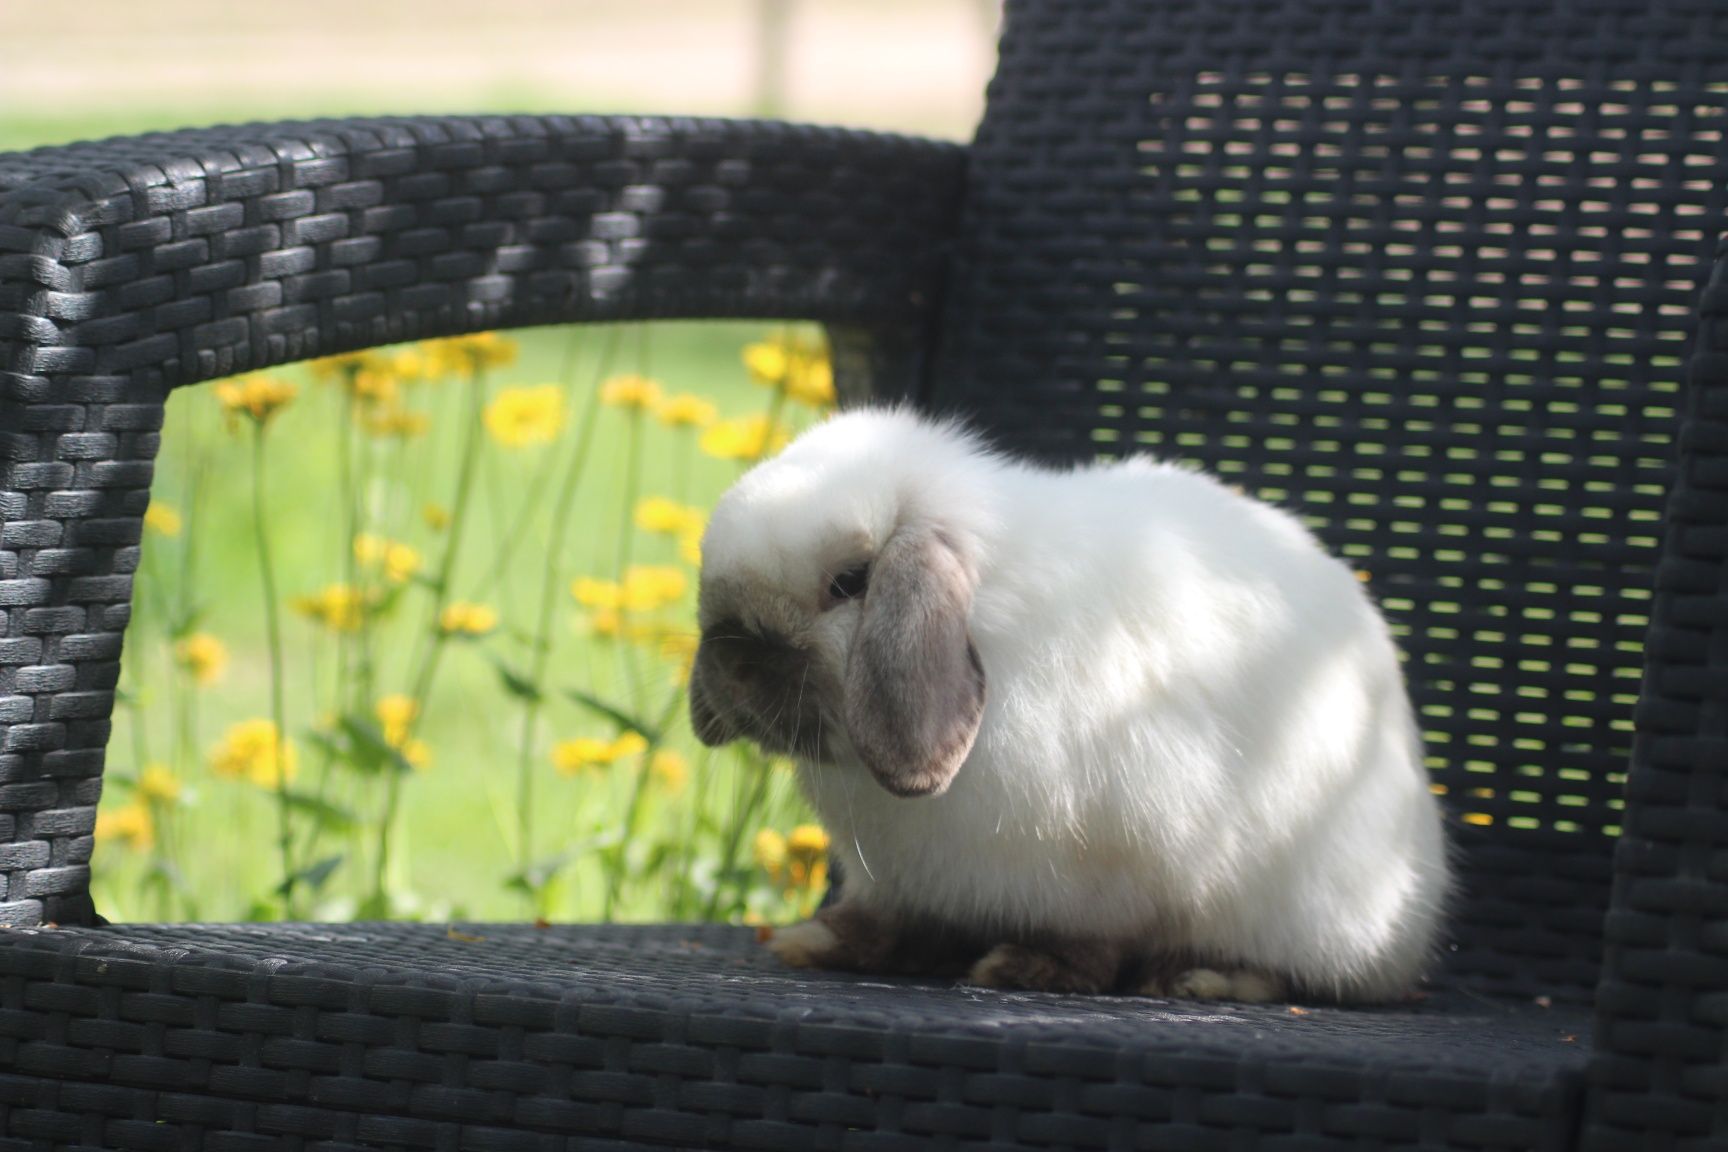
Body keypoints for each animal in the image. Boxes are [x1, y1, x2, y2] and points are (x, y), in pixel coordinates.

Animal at [687, 405, 1444, 1001]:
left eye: (849, 582)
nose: (735, 665)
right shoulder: (901, 886)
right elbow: (886, 923)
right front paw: (816, 941)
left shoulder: (1113, 872)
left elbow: (1092, 940)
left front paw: (1026, 968)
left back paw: (1202, 979)